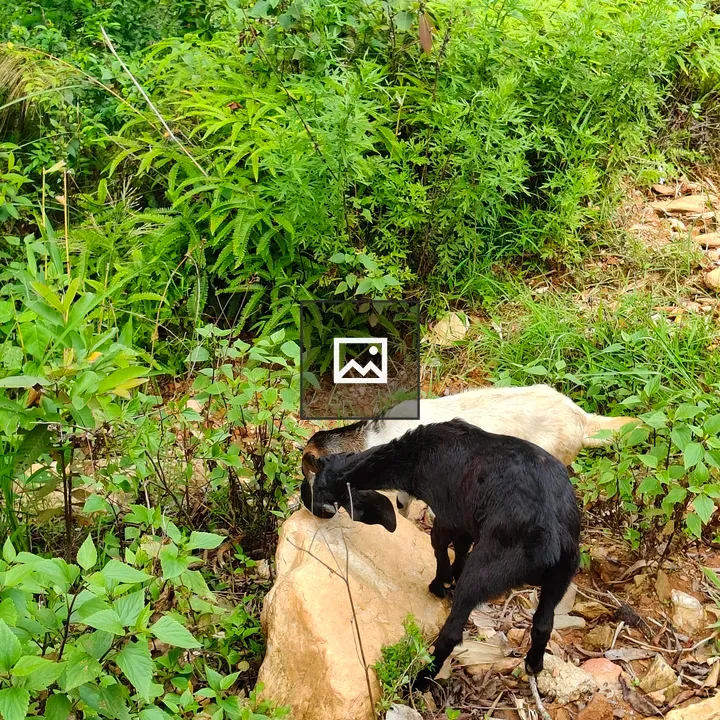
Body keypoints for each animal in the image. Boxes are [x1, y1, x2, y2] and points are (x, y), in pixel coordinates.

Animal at [301, 420, 581, 689]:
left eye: (317, 485)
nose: (304, 500)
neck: (417, 455)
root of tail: (552, 538)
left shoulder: (447, 517)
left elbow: (439, 546)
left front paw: (441, 583)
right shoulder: (468, 522)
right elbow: (460, 548)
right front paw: (451, 576)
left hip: (483, 573)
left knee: (452, 633)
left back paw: (422, 679)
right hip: (561, 579)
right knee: (543, 624)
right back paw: (533, 664)